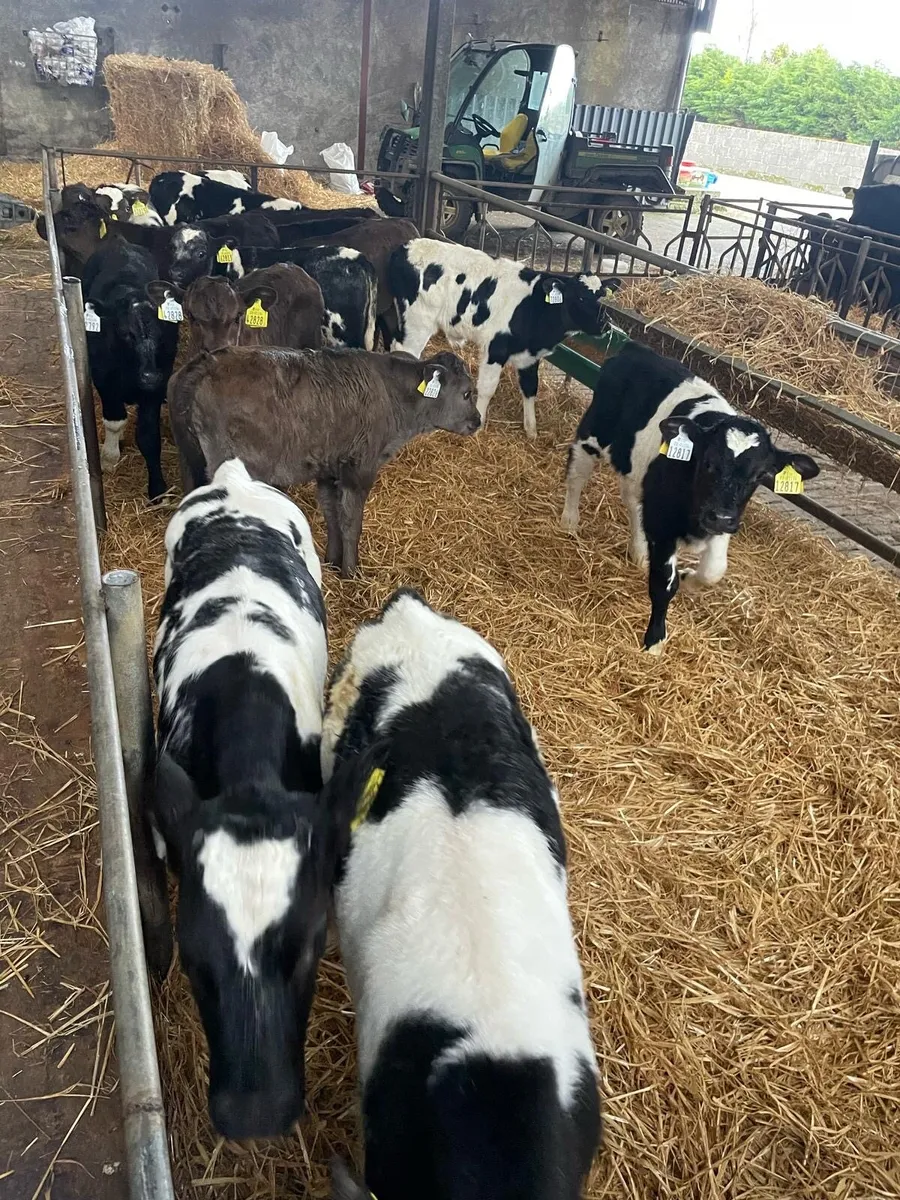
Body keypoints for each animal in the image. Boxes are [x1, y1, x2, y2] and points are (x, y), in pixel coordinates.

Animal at [81, 239, 180, 500]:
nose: (149, 376)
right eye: (126, 333)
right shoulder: (104, 381)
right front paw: (108, 458)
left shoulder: (156, 388)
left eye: (162, 332)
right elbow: (115, 421)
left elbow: (148, 435)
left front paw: (157, 488)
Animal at [167, 346, 478, 576]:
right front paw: (352, 572)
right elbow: (351, 521)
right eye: (467, 393)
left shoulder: (328, 467)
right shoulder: (359, 468)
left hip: (189, 460)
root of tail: (206, 361)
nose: (477, 421)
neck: (391, 394)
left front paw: (332, 560)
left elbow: (331, 513)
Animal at [389, 238, 621, 439]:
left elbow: (530, 388)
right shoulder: (496, 349)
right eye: (580, 297)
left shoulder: (530, 357)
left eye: (602, 295)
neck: (534, 307)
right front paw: (478, 425)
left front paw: (531, 430)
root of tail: (407, 246)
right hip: (418, 323)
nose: (605, 323)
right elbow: (487, 388)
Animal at [560, 341, 819, 653]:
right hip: (594, 433)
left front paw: (689, 580)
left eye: (759, 476)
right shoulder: (665, 524)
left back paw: (639, 553)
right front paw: (654, 641)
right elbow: (664, 583)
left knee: (632, 500)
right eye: (708, 462)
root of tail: (635, 348)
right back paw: (569, 521)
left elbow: (714, 569)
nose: (720, 517)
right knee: (577, 474)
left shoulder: (720, 522)